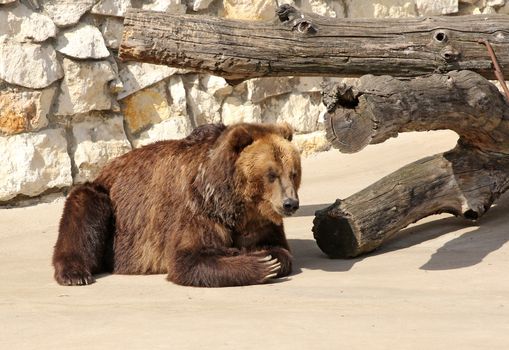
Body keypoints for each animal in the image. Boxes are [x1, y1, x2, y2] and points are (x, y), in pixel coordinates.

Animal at [53, 122, 302, 288]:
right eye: (271, 174)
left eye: (293, 172)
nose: (290, 203)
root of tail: (109, 166)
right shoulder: (198, 207)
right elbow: (187, 258)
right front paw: (259, 263)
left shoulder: (259, 219)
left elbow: (279, 249)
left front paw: (263, 256)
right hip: (110, 205)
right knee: (84, 211)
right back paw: (75, 274)